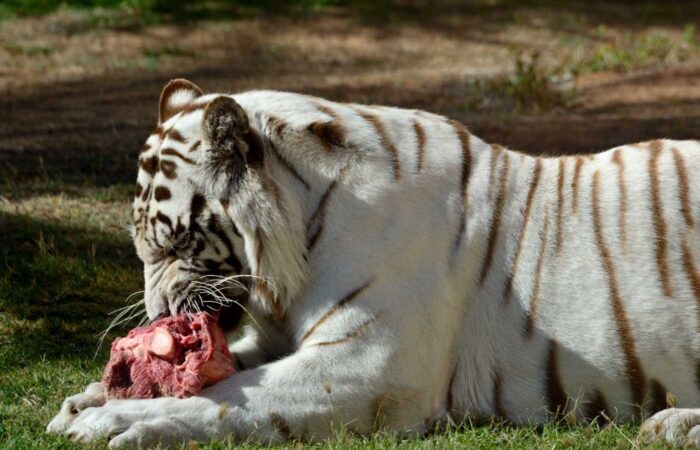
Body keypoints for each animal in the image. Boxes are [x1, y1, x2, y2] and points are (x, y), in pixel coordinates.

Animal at [47, 78, 700, 448]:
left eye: (176, 245)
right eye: (142, 247)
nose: (158, 315)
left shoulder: (369, 365)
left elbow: (232, 397)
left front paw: (115, 421)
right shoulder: (284, 338)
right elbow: (230, 374)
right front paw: (91, 398)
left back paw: (671, 426)